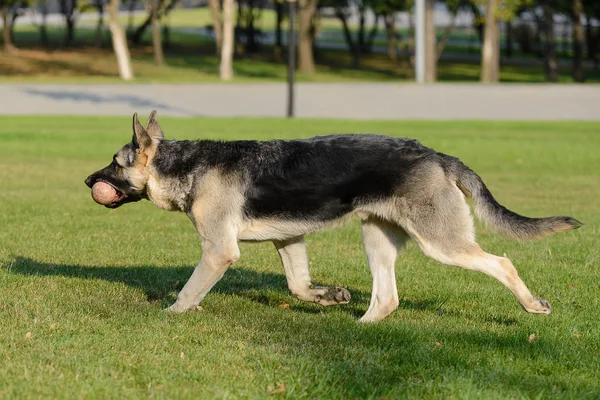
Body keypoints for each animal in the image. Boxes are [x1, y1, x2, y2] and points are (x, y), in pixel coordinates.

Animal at [84, 111, 580, 322]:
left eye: (115, 162)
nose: (88, 181)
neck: (187, 165)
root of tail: (436, 155)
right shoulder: (288, 241)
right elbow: (298, 286)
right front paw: (328, 296)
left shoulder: (219, 252)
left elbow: (189, 291)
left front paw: (170, 313)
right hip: (376, 239)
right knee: (387, 299)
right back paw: (360, 329)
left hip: (442, 244)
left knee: (502, 262)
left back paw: (532, 306)